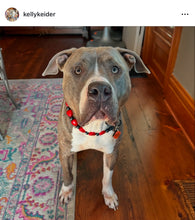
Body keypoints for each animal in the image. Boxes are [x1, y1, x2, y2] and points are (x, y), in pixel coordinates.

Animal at [42, 46, 149, 210]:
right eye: (78, 70)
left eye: (115, 69)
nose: (99, 89)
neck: (93, 127)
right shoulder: (65, 152)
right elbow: (67, 174)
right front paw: (66, 191)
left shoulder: (112, 152)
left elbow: (107, 177)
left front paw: (109, 195)